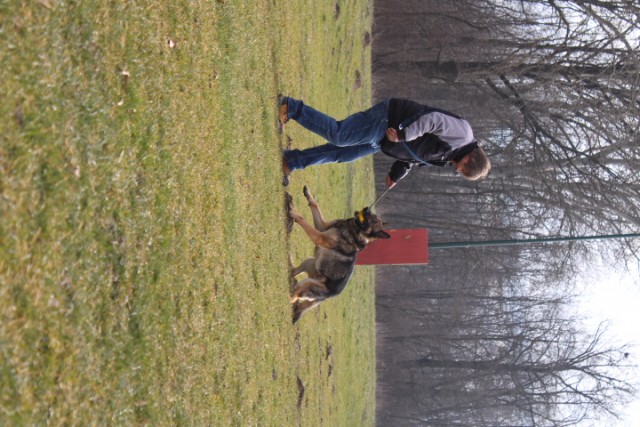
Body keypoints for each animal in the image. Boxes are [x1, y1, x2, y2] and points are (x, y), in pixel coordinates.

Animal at [288, 186, 390, 322]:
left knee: (293, 298)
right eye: (372, 215)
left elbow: (303, 220)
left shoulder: (319, 236)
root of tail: (325, 298)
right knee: (295, 274)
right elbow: (315, 205)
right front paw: (308, 194)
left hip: (307, 283)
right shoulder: (322, 227)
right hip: (311, 261)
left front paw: (294, 213)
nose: (366, 209)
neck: (353, 230)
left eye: (373, 221)